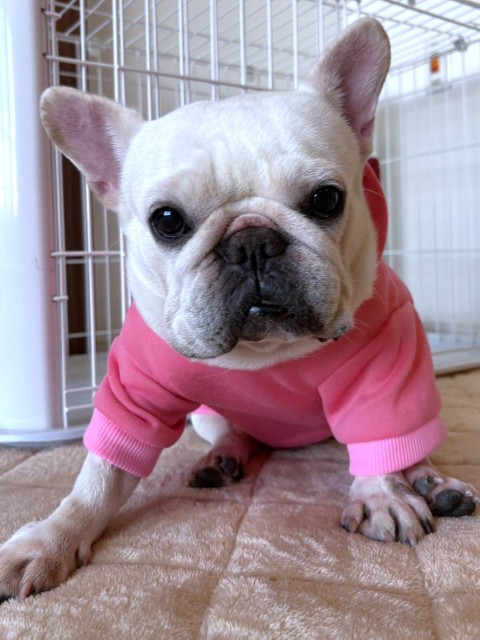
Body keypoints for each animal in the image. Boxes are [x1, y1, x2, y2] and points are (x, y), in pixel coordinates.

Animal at [1, 18, 478, 600]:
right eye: (166, 220)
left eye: (326, 199)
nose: (251, 243)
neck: (264, 351)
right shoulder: (136, 389)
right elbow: (100, 473)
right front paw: (53, 536)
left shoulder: (384, 366)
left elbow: (378, 437)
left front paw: (383, 493)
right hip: (205, 416)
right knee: (235, 431)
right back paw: (221, 458)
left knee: (407, 443)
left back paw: (433, 482)